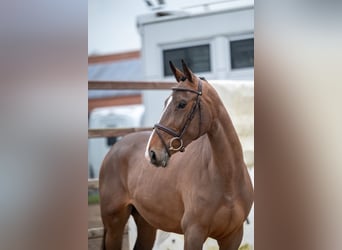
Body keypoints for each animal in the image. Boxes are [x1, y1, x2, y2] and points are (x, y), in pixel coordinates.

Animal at [99, 61, 254, 250]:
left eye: (181, 104)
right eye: (166, 102)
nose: (152, 153)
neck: (227, 179)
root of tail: (115, 148)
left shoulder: (233, 237)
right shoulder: (194, 234)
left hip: (146, 224)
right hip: (114, 224)